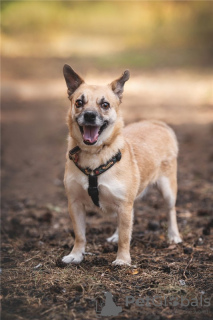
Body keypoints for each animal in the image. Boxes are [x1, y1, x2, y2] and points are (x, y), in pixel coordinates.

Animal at [61, 64, 181, 264]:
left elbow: (126, 237)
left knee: (170, 210)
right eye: (79, 103)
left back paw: (174, 236)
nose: (89, 115)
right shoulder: (75, 204)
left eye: (105, 105)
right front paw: (76, 255)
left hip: (167, 189)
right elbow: (80, 235)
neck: (95, 155)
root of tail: (157, 123)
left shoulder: (124, 204)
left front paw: (123, 260)